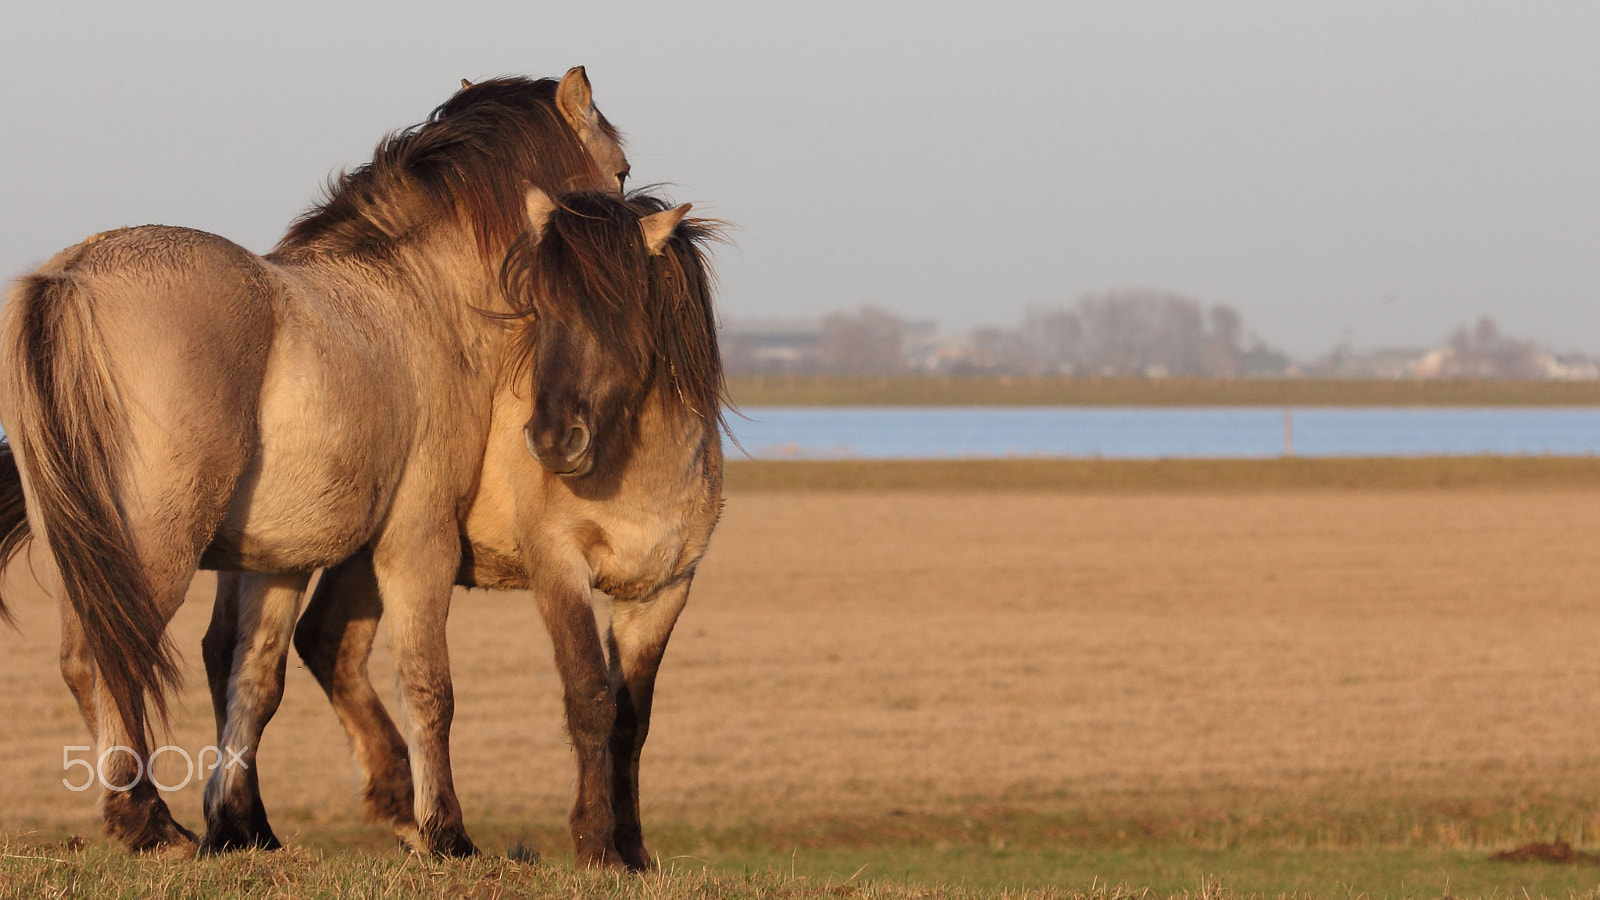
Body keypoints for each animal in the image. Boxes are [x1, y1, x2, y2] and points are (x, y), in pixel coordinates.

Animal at [0, 70, 643, 851]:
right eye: (620, 171)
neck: (421, 296)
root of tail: (71, 276)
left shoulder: (277, 559)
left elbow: (254, 679)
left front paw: (242, 824)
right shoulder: (418, 540)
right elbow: (429, 683)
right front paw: (445, 832)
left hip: (87, 550)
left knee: (82, 661)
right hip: (150, 549)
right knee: (111, 658)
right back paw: (146, 820)